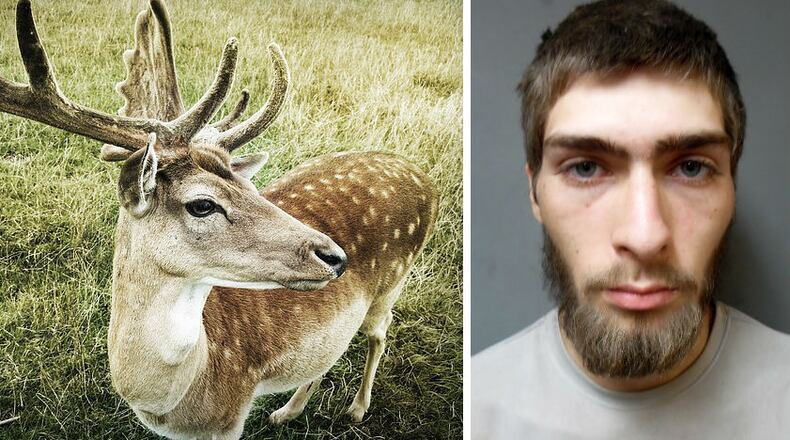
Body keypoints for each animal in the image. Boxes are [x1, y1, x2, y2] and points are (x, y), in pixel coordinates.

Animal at [0, 1, 439, 438]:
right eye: (202, 204)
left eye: (251, 187)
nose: (335, 256)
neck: (174, 401)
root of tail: (423, 177)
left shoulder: (231, 415)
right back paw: (287, 411)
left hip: (393, 284)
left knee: (379, 333)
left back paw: (356, 409)